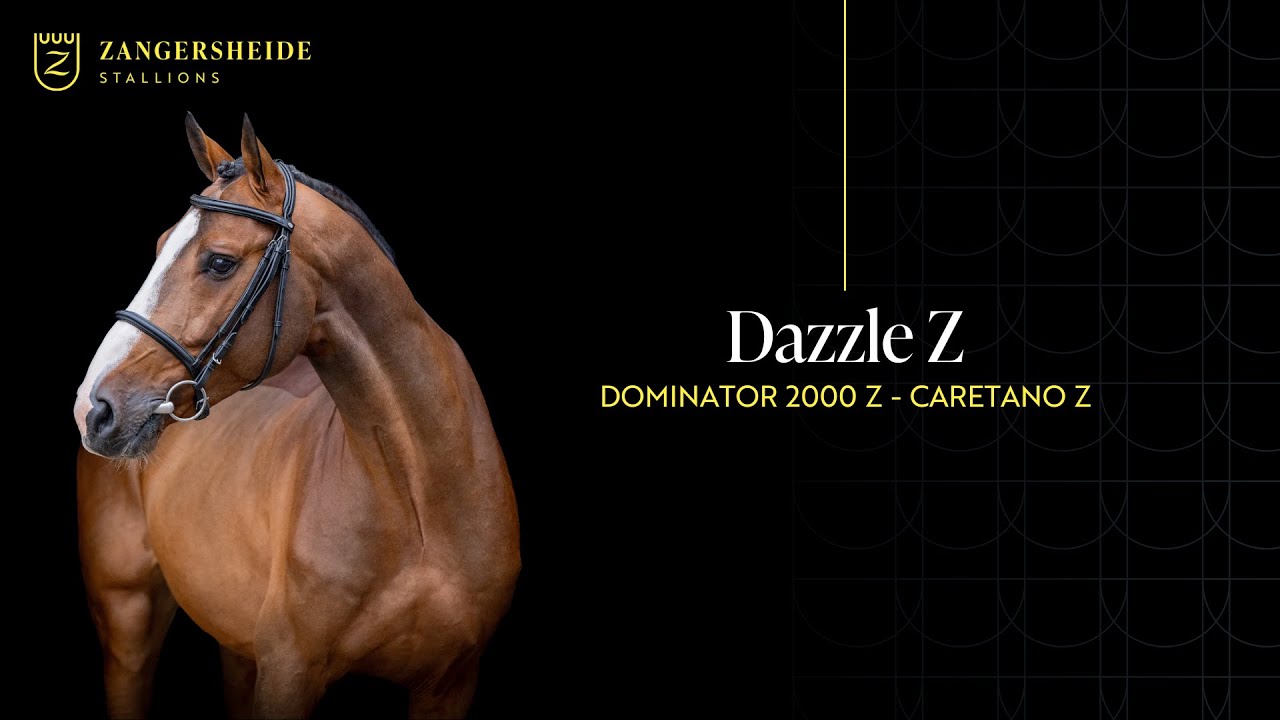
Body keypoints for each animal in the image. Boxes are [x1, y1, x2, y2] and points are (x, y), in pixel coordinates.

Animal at [73, 114, 520, 719]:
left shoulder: (451, 683)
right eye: (161, 244)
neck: (421, 499)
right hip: (128, 618)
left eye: (219, 262)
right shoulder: (288, 676)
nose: (92, 406)